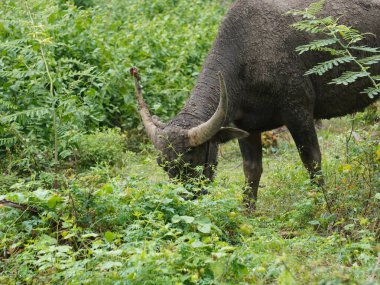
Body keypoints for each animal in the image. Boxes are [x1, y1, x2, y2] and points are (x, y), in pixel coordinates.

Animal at [132, 0, 378, 209]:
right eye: (164, 166)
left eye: (190, 163)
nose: (183, 204)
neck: (246, 56)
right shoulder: (247, 126)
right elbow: (251, 169)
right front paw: (247, 209)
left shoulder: (299, 113)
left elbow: (312, 161)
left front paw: (323, 204)